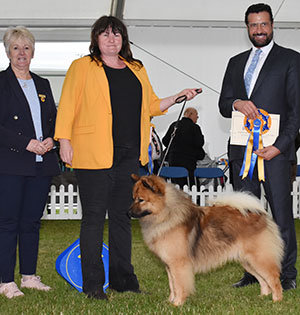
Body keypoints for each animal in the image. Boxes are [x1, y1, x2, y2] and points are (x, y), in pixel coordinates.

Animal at [129, 175, 284, 306]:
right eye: (133, 198)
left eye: (141, 200)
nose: (127, 213)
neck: (166, 214)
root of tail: (261, 215)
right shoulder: (169, 265)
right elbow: (172, 285)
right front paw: (170, 301)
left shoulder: (178, 264)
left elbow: (179, 285)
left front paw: (177, 303)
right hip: (247, 261)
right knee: (263, 280)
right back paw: (263, 297)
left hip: (259, 258)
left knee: (274, 279)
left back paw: (277, 300)